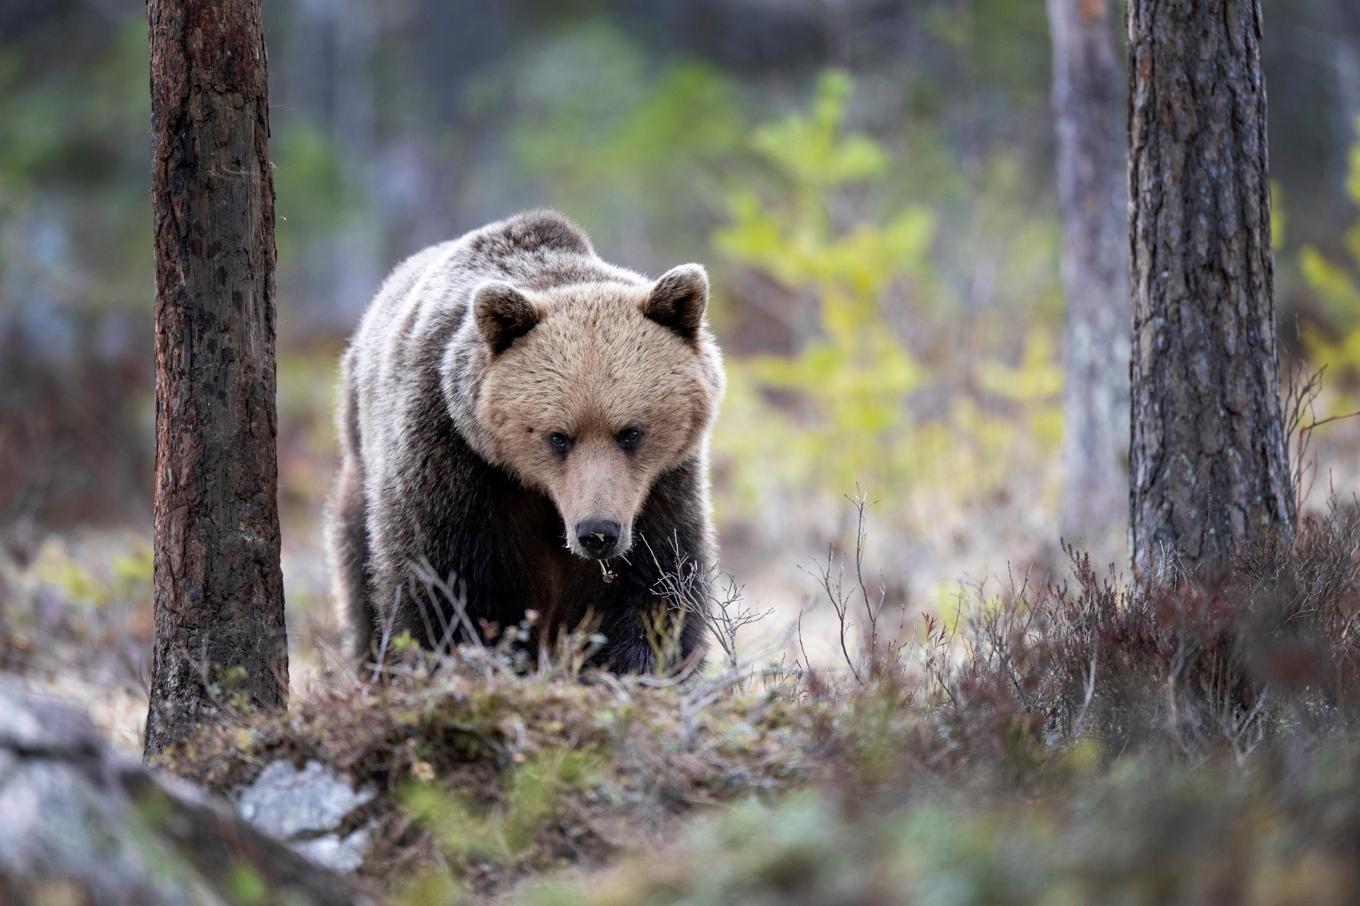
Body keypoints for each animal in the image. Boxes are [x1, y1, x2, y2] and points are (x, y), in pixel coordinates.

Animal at [326, 208, 723, 666]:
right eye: (558, 437)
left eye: (631, 432)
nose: (597, 532)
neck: (541, 495)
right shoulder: (452, 463)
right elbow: (443, 590)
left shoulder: (661, 487)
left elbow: (656, 590)